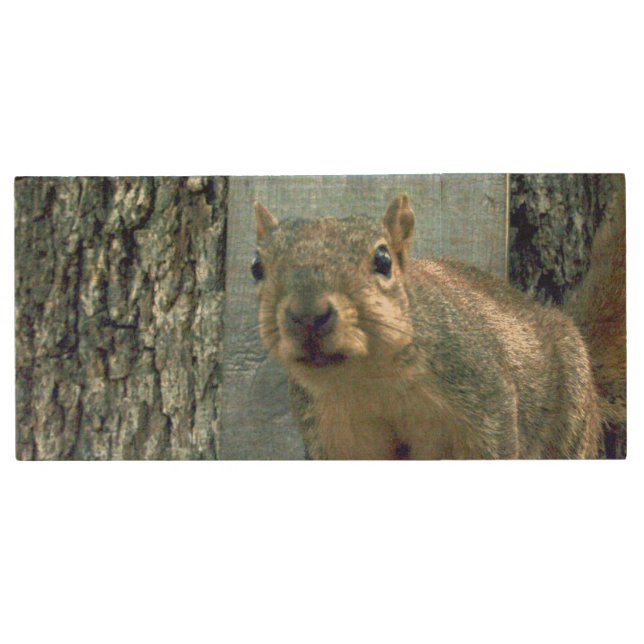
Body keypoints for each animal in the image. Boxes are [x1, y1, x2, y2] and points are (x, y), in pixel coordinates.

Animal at [252, 193, 604, 459]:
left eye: (383, 260)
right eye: (256, 267)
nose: (307, 315)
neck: (370, 378)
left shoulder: (483, 393)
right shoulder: (331, 432)